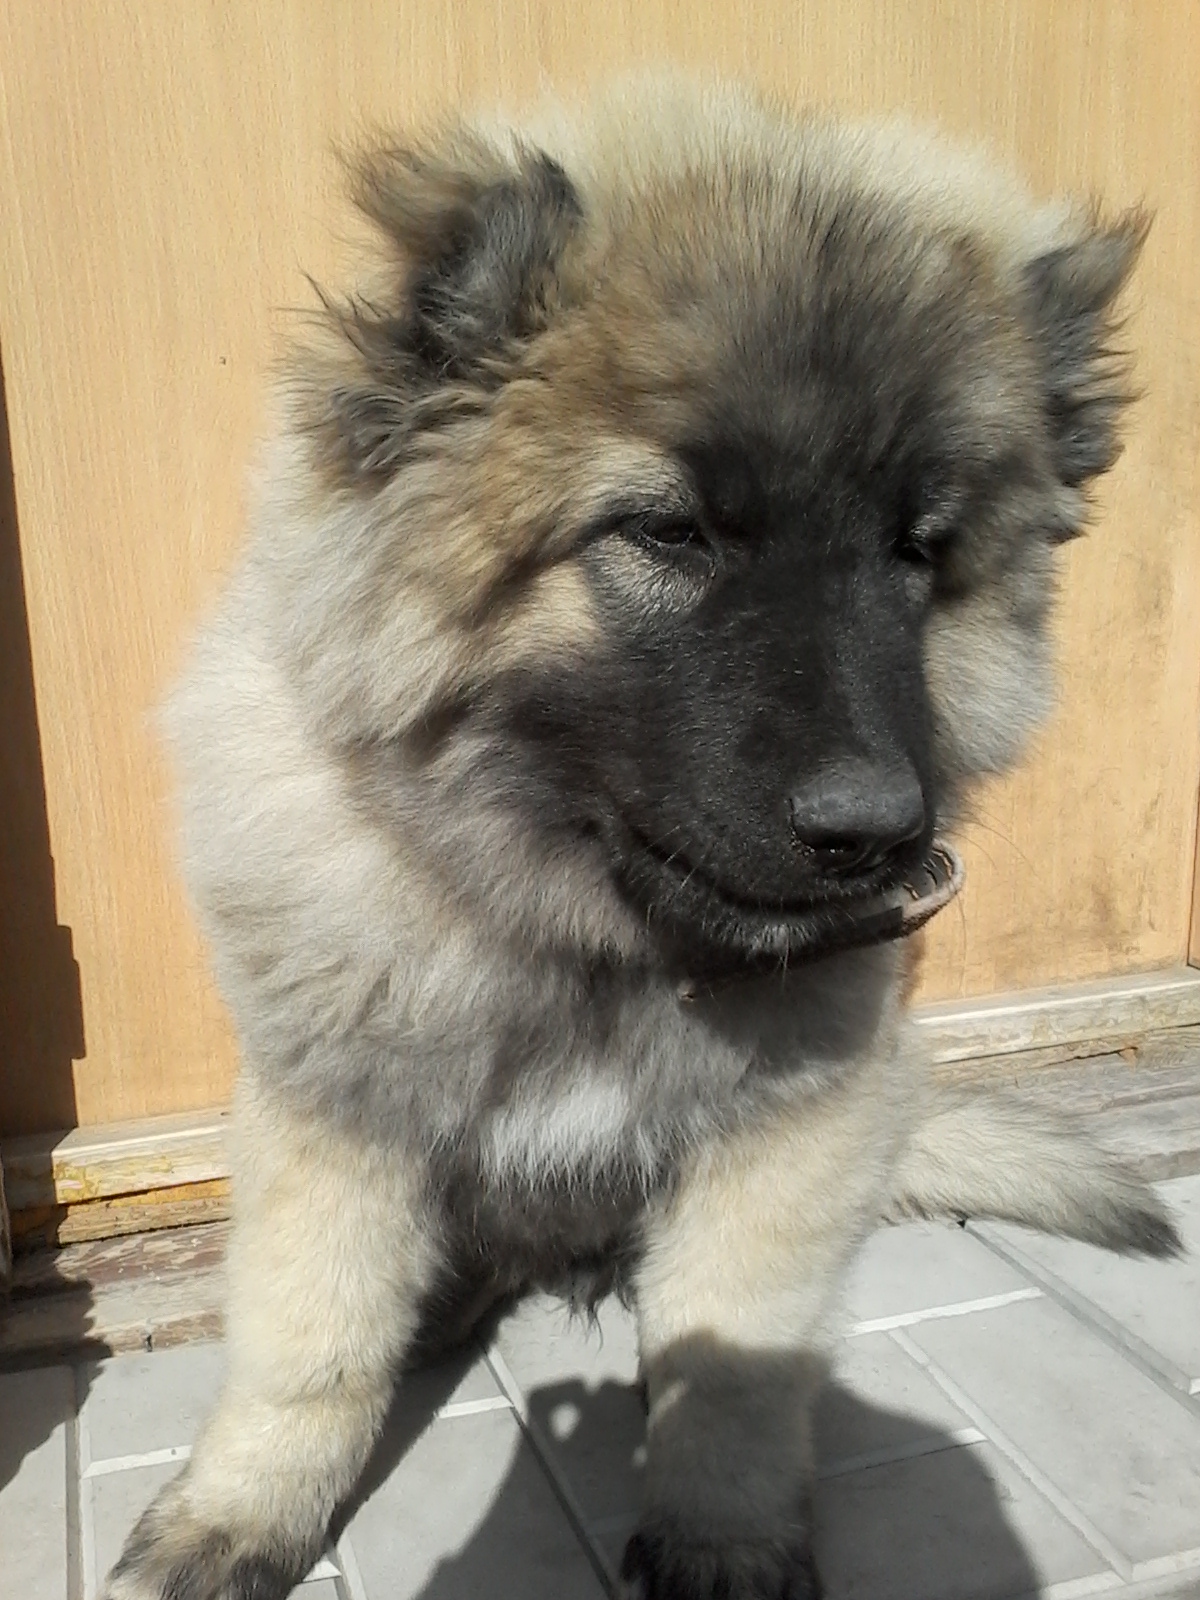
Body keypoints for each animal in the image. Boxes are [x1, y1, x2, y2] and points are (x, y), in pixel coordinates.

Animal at [106, 78, 1180, 1600]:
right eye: (668, 532)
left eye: (918, 551)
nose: (877, 834)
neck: (588, 936)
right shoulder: (338, 1112)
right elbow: (307, 1345)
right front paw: (243, 1511)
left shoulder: (795, 1132)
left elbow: (730, 1362)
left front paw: (723, 1534)